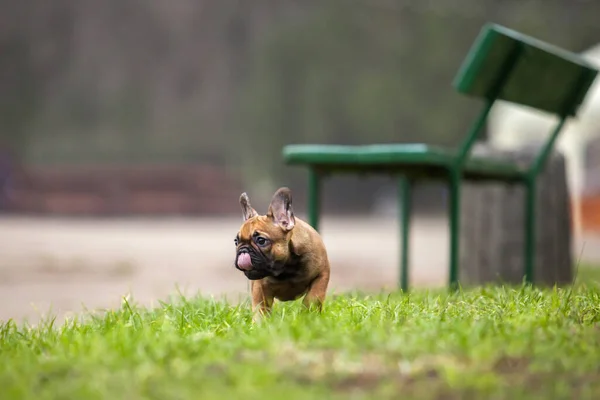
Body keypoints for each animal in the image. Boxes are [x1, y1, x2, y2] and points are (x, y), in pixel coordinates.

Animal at [233, 188, 330, 322]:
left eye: (261, 240)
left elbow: (313, 297)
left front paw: (308, 315)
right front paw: (259, 323)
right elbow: (260, 307)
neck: (287, 267)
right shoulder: (259, 287)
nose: (243, 250)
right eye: (236, 242)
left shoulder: (322, 274)